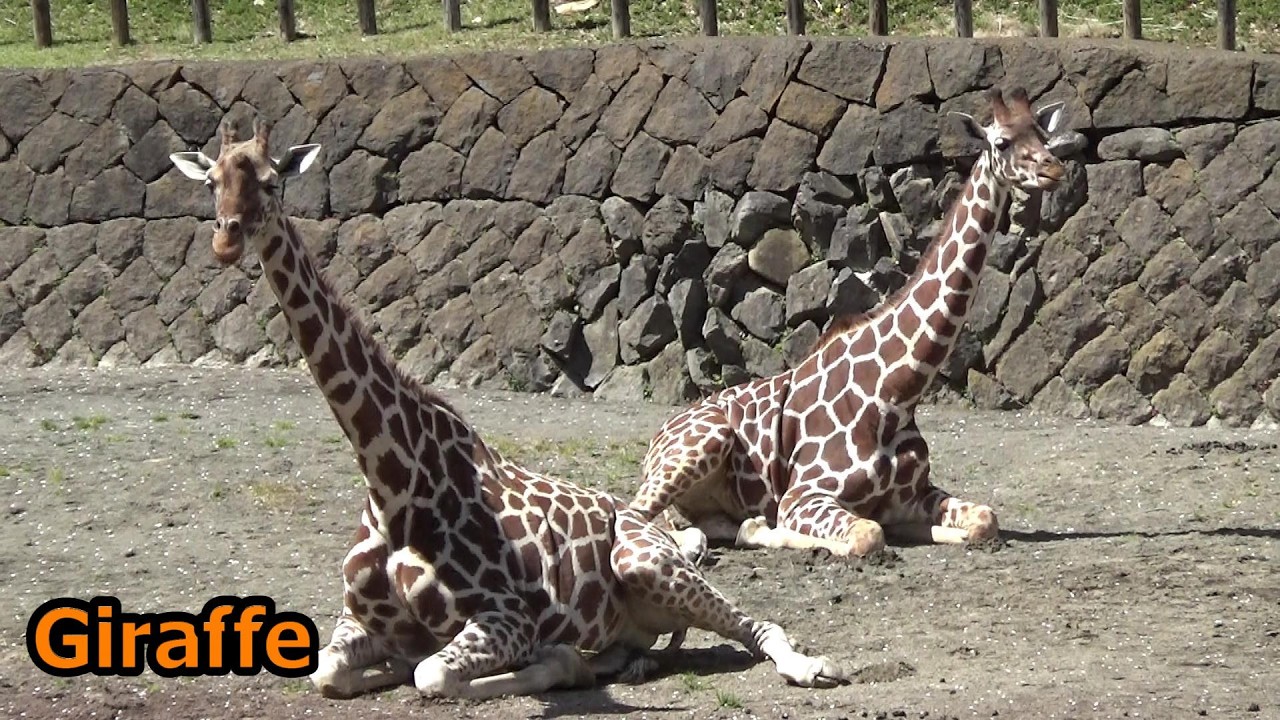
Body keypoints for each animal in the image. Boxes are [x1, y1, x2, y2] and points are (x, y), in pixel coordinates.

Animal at [168, 117, 847, 700]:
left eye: (271, 180)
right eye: (211, 181)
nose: (226, 238)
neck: (391, 479)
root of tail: (647, 522)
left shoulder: (506, 615)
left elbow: (433, 675)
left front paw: (545, 660)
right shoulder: (358, 622)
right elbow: (330, 672)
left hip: (646, 559)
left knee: (758, 626)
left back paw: (812, 665)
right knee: (649, 642)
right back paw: (623, 658)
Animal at [628, 87, 1069, 559]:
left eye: (1043, 135)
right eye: (1001, 142)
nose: (1054, 168)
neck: (897, 392)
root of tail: (656, 437)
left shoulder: (914, 494)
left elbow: (986, 519)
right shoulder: (804, 494)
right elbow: (867, 535)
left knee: (706, 525)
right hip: (703, 443)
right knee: (639, 516)